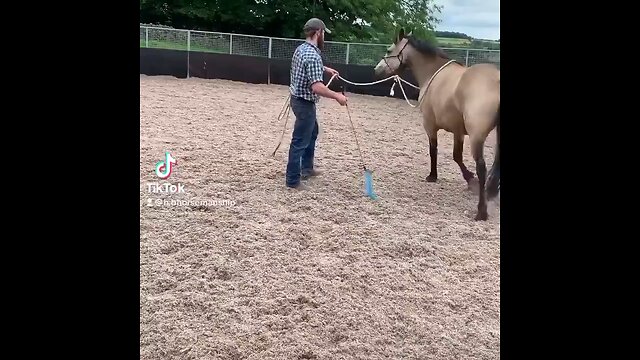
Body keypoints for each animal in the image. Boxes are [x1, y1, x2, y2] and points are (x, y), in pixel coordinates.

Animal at [376, 28, 500, 219]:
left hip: (477, 136)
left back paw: (481, 211)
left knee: (482, 167)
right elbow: (456, 156)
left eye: (389, 50)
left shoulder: (430, 125)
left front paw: (432, 176)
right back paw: (491, 192)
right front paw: (469, 179)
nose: (376, 70)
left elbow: (433, 150)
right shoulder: (458, 130)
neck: (432, 74)